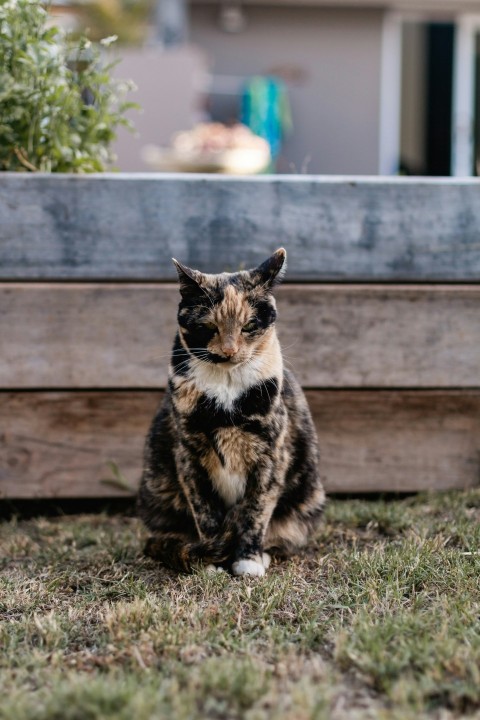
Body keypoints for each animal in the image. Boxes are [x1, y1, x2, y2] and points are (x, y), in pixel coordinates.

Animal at [137, 250, 324, 576]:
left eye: (248, 326)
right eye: (209, 327)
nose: (229, 351)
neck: (225, 395)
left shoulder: (272, 455)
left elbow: (255, 511)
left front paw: (248, 561)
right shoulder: (189, 455)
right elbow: (206, 513)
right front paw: (212, 562)